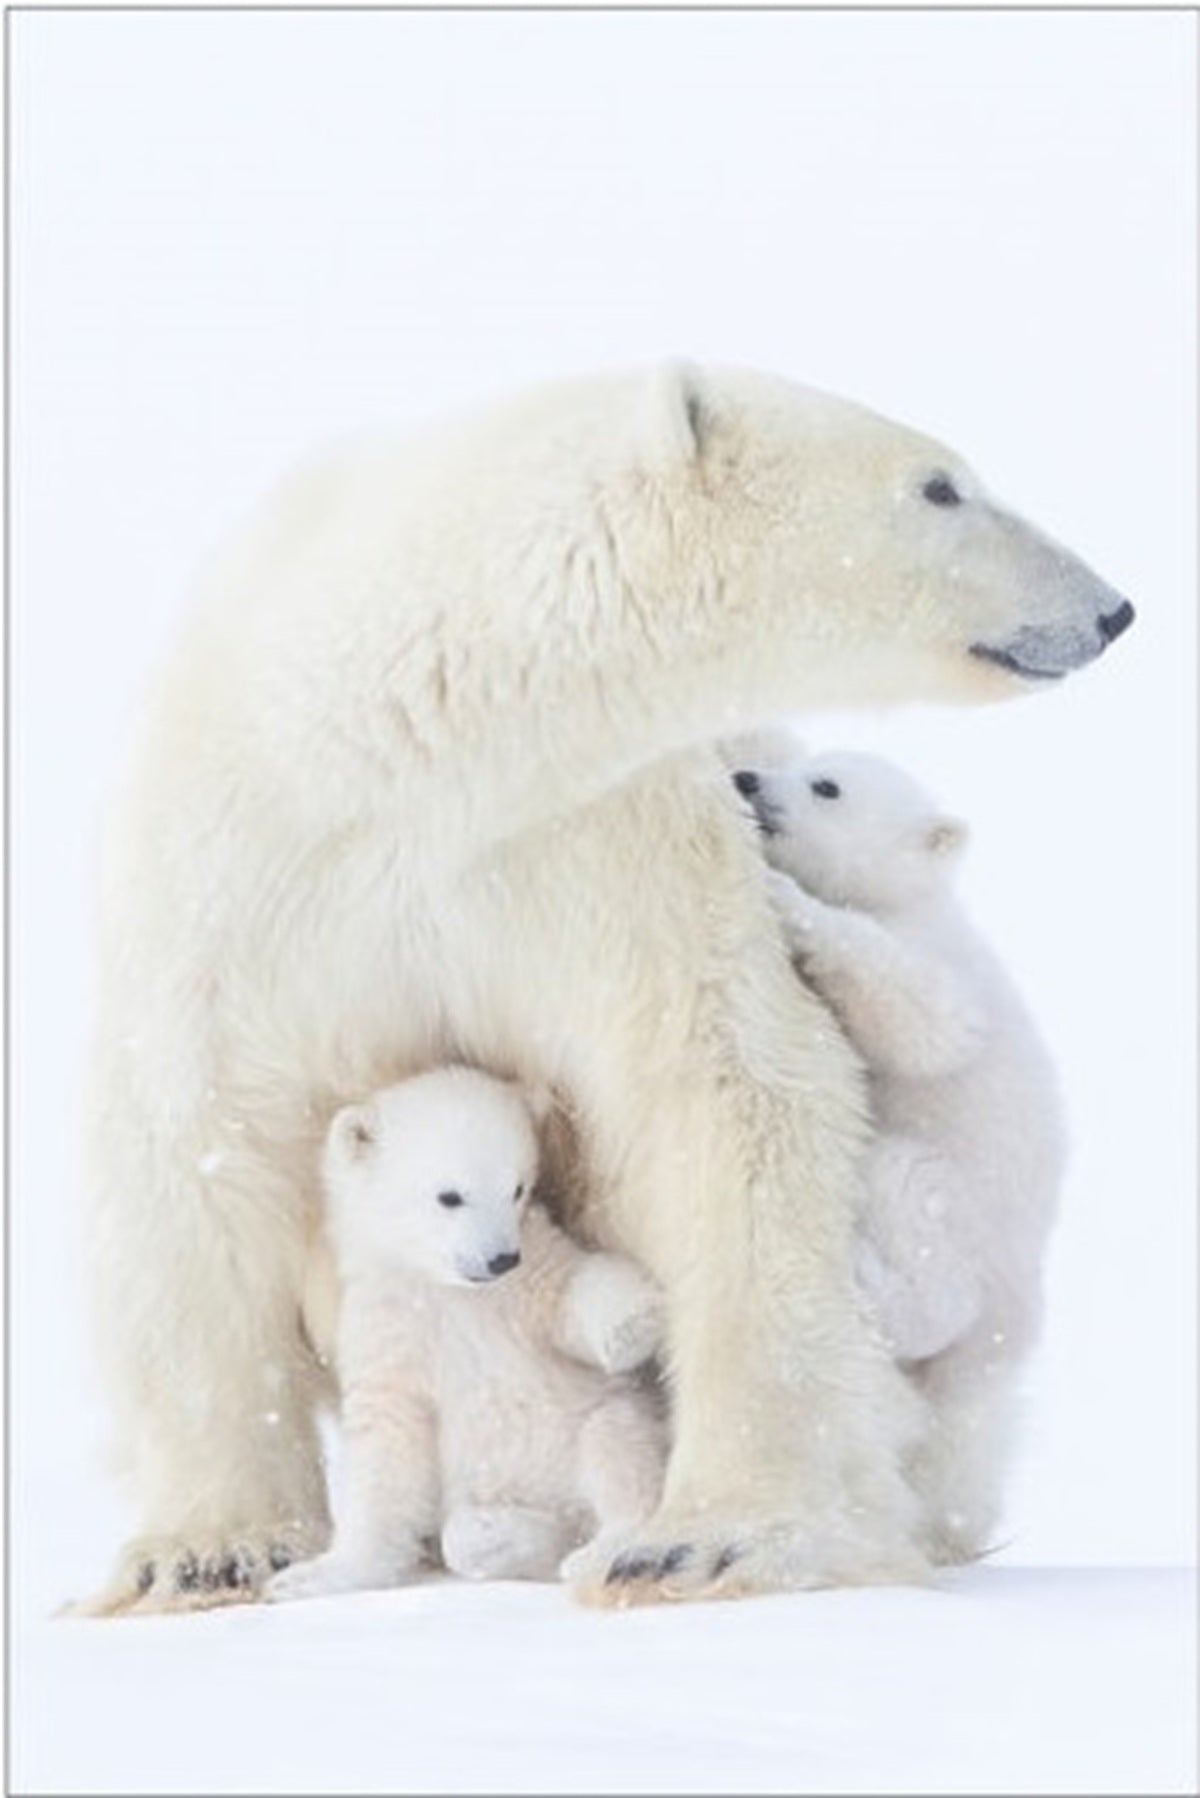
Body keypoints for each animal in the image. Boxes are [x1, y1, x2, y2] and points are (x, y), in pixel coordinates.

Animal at [268, 1067, 665, 1603]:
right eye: (450, 1196)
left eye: (517, 1188)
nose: (501, 1259)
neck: (449, 1290)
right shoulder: (387, 1326)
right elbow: (387, 1443)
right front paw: (309, 1575)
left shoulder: (530, 1274)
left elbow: (570, 1295)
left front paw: (636, 1322)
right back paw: (500, 1535)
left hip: (599, 1417)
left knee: (619, 1450)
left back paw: (599, 1549)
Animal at [731, 740, 1066, 1565]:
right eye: (807, 763)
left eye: (826, 785)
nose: (745, 778)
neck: (916, 898)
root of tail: (1012, 1329)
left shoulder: (940, 966)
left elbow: (923, 1018)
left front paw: (787, 898)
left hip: (964, 1209)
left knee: (914, 1220)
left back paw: (863, 1271)